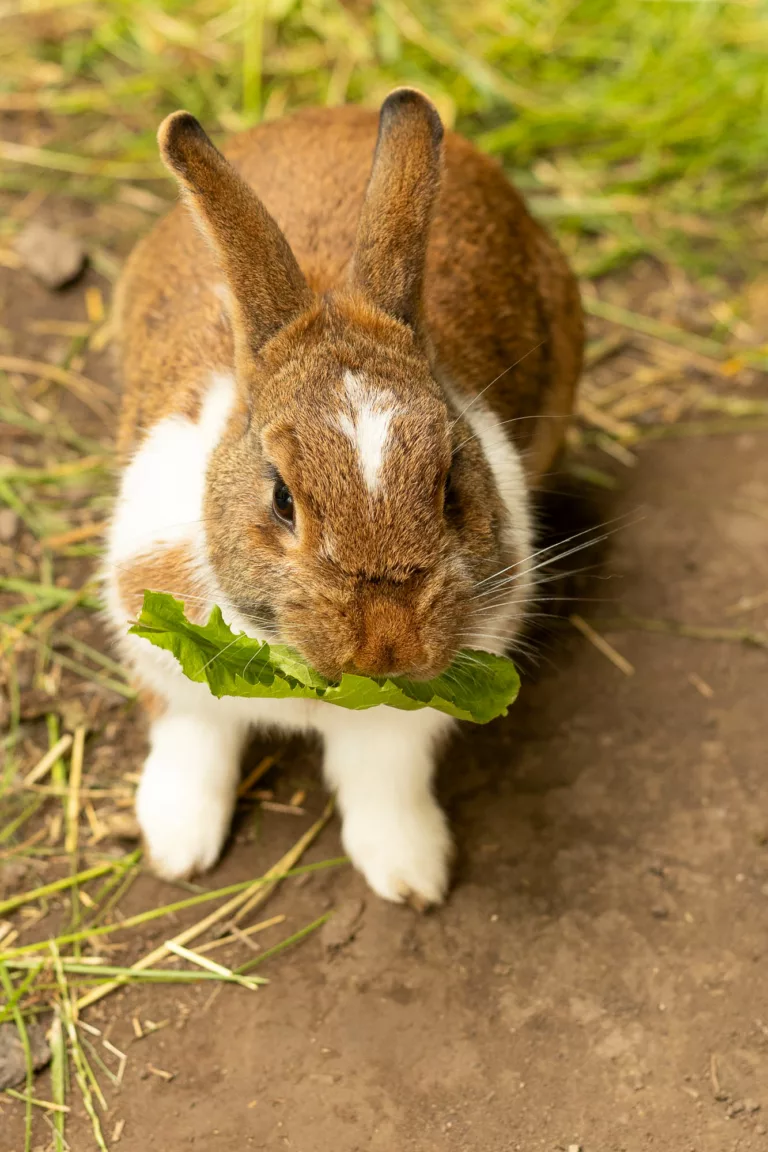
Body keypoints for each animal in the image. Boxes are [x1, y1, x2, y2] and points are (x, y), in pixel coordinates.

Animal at [101, 89, 582, 903]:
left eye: (451, 486)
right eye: (282, 499)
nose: (385, 645)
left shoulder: (405, 718)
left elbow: (384, 781)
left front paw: (411, 875)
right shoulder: (165, 655)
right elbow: (191, 742)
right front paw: (175, 848)